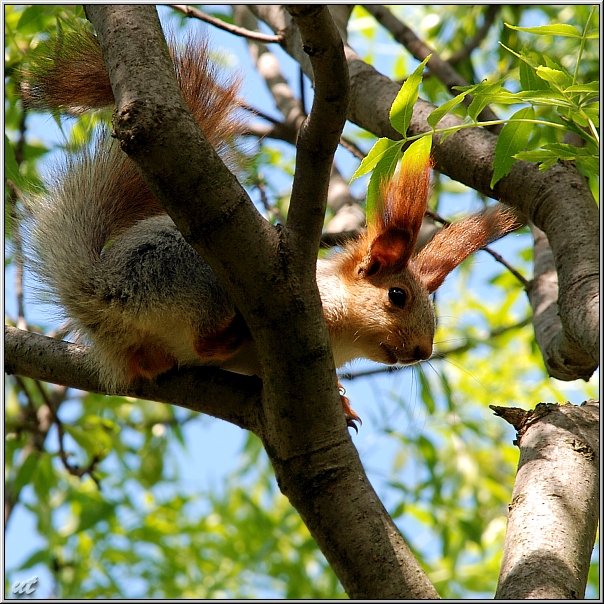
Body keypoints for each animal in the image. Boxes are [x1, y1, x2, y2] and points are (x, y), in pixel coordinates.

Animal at [21, 30, 516, 428]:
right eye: (398, 296)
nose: (423, 352)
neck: (342, 338)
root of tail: (97, 292)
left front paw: (342, 404)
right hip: (188, 276)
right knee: (203, 341)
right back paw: (230, 332)